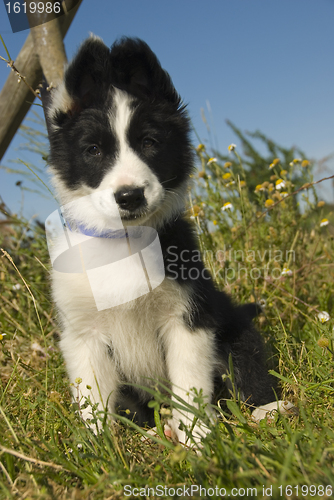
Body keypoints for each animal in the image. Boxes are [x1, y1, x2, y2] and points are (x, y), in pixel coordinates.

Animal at [43, 37, 276, 444]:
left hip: (233, 327)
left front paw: (198, 440)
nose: (129, 196)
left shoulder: (187, 317)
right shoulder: (83, 334)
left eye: (150, 142)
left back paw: (268, 410)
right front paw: (97, 448)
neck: (125, 243)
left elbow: (190, 385)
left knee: (246, 368)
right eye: (93, 150)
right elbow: (93, 399)